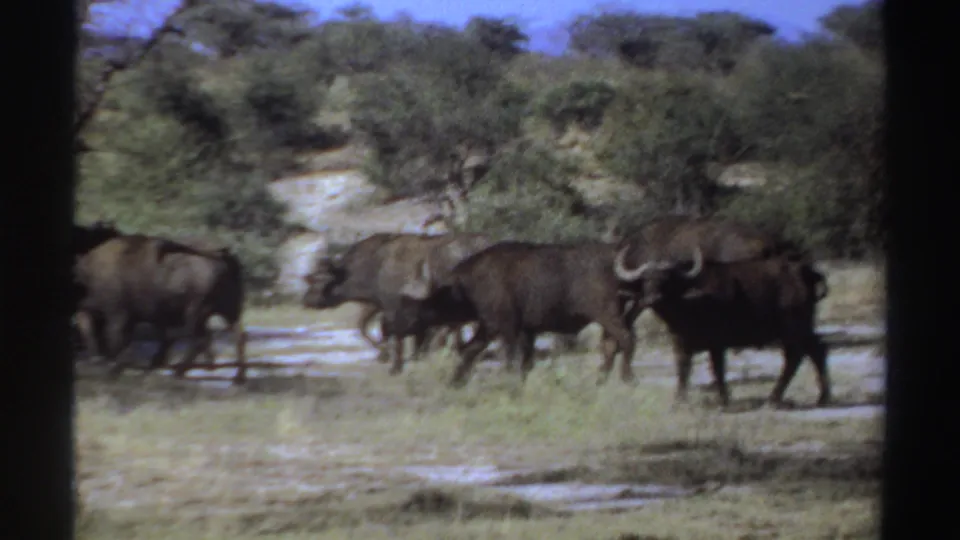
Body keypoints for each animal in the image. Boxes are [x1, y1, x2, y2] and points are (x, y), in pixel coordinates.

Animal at [74, 233, 248, 384]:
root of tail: (221, 255)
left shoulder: (117, 314)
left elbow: (116, 338)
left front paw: (115, 368)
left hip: (195, 312)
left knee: (200, 340)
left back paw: (179, 372)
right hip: (230, 310)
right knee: (237, 336)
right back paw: (237, 377)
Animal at [399, 241, 641, 387]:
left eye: (439, 299)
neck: (468, 285)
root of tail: (612, 258)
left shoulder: (505, 328)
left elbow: (509, 358)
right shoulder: (511, 329)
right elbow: (474, 351)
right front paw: (455, 382)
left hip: (606, 313)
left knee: (626, 339)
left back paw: (627, 378)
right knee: (611, 345)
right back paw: (601, 380)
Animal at [617, 245, 831, 408]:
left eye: (667, 279)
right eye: (645, 280)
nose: (653, 298)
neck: (690, 302)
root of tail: (805, 271)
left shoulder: (717, 343)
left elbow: (717, 369)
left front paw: (723, 398)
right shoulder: (680, 343)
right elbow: (683, 369)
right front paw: (679, 399)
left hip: (793, 329)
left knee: (795, 356)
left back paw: (774, 398)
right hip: (803, 329)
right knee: (817, 350)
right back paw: (822, 397)